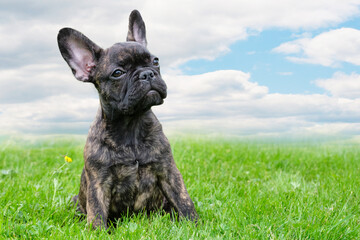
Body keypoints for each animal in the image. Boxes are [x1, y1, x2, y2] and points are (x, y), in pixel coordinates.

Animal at [57, 10, 197, 230]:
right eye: (118, 73)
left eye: (155, 61)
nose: (147, 74)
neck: (132, 124)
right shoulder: (98, 182)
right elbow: (97, 212)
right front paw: (98, 232)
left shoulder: (168, 171)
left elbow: (184, 200)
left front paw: (196, 225)